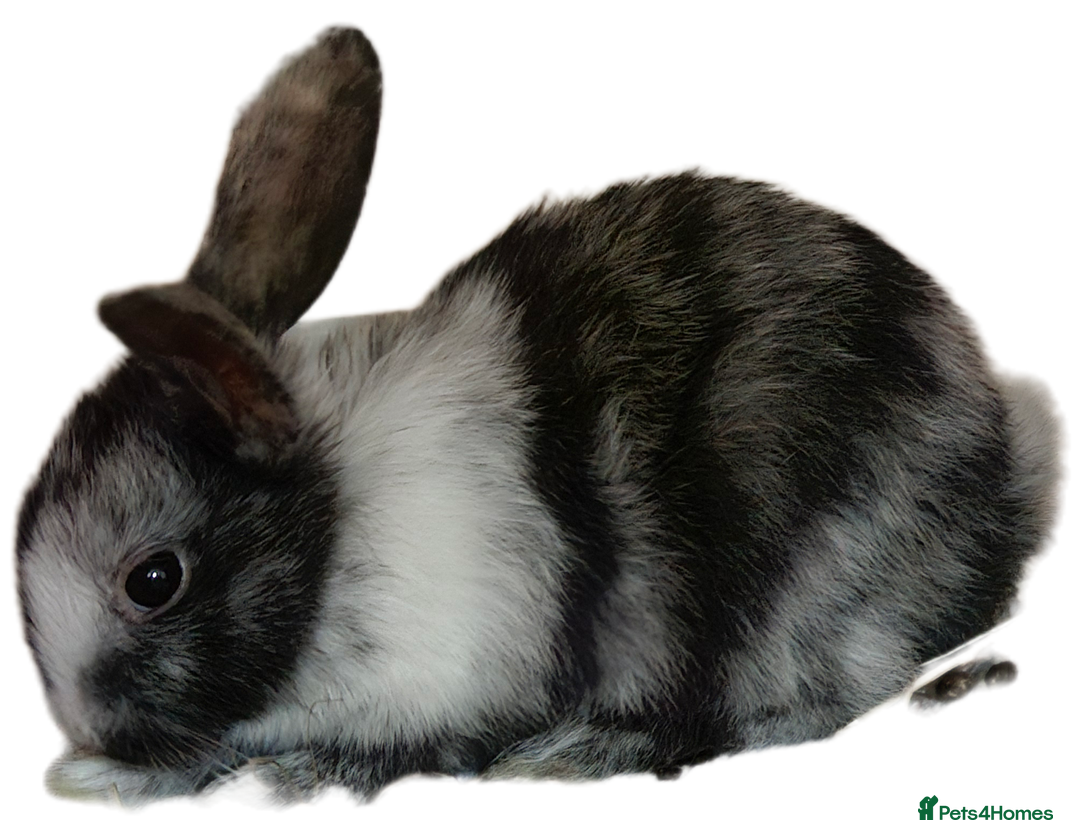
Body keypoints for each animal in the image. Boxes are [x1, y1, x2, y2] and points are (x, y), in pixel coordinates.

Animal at [10, 19, 1069, 814]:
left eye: (153, 579)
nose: (82, 719)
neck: (336, 519)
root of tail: (1012, 452)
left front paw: (216, 776)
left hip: (807, 580)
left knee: (806, 702)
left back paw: (582, 750)